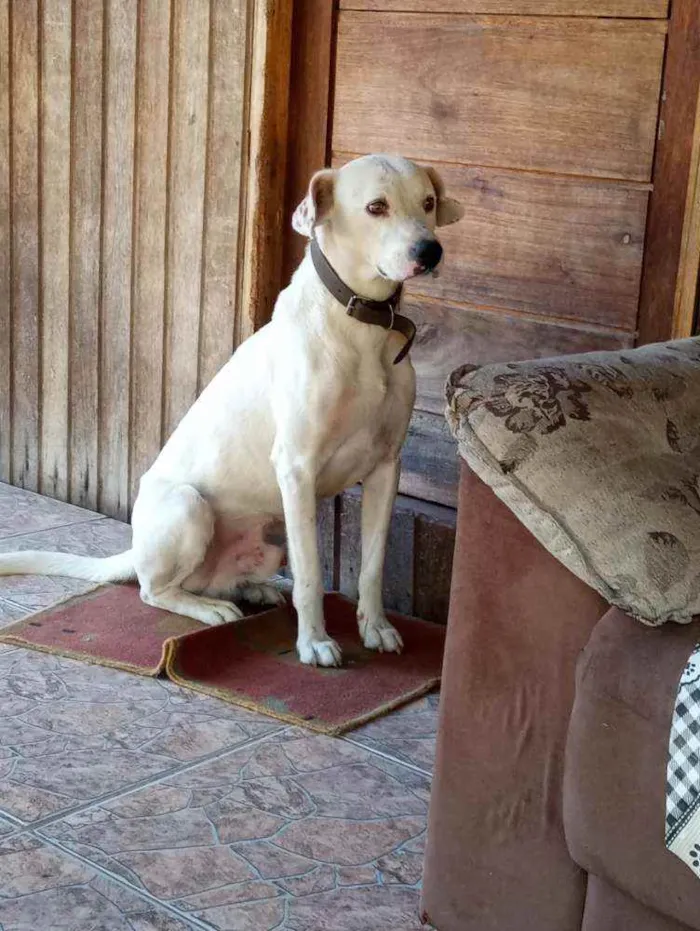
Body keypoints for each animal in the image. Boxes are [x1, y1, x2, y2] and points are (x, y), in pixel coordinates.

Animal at [0, 155, 462, 664]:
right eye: (376, 206)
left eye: (428, 202)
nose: (431, 251)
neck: (363, 329)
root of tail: (135, 550)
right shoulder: (297, 469)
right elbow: (311, 575)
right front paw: (315, 642)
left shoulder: (385, 468)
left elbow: (373, 567)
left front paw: (375, 627)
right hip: (188, 506)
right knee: (153, 590)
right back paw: (209, 610)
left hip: (273, 533)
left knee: (215, 581)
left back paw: (252, 590)